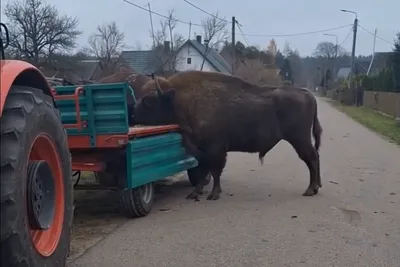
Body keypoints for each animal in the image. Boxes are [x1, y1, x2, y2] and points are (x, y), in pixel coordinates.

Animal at [133, 71, 324, 201]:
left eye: (148, 101)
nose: (132, 112)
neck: (181, 99)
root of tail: (308, 94)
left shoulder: (215, 149)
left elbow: (215, 170)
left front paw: (213, 194)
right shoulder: (201, 150)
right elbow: (204, 170)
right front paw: (195, 193)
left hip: (299, 139)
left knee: (312, 158)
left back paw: (310, 190)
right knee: (313, 158)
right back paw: (314, 188)